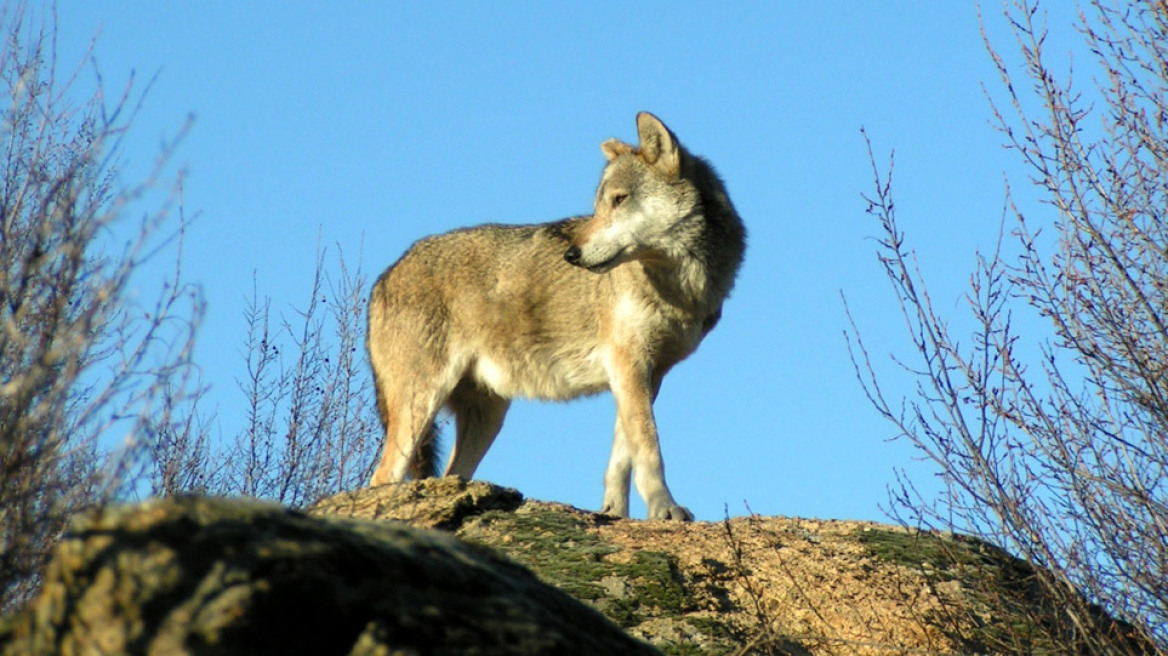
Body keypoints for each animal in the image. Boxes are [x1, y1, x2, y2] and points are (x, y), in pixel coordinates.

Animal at [369, 112, 742, 518]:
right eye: (598, 206)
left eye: (619, 200)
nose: (572, 255)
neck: (681, 288)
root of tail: (383, 277)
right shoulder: (628, 365)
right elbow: (649, 450)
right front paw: (664, 509)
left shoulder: (644, 374)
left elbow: (621, 459)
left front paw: (614, 513)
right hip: (421, 406)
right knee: (381, 477)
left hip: (487, 417)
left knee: (447, 474)